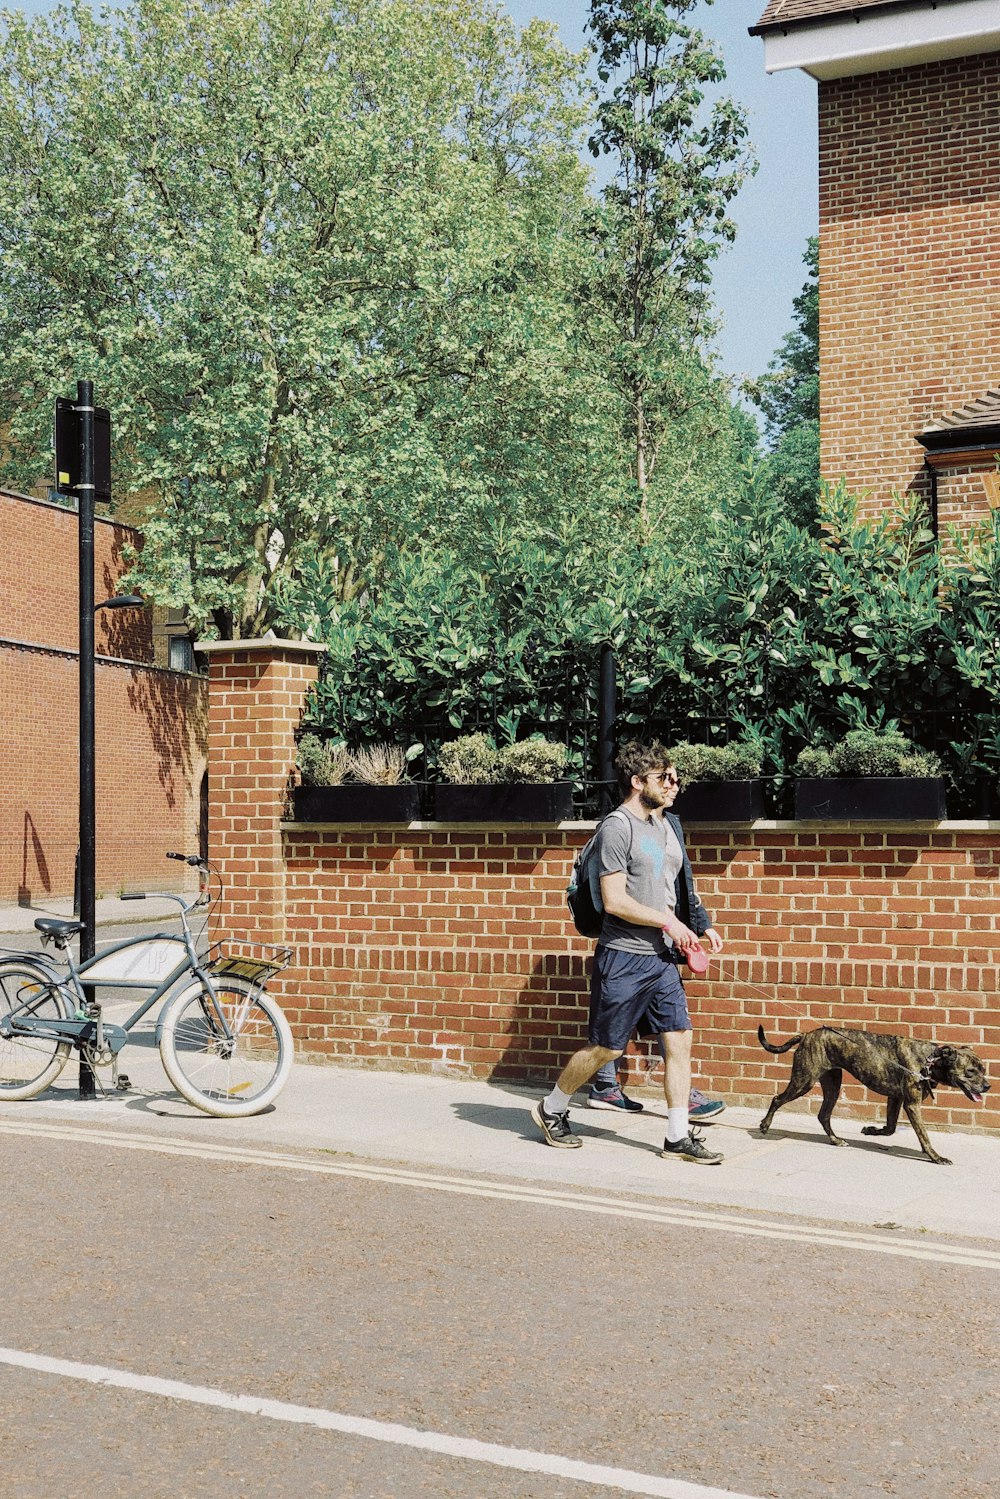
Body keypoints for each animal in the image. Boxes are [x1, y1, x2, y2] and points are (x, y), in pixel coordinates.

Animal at [755, 1025, 989, 1163]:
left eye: (983, 1069)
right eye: (970, 1071)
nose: (987, 1086)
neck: (931, 1061)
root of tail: (805, 1036)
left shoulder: (895, 1099)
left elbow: (891, 1128)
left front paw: (872, 1130)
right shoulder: (911, 1104)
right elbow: (924, 1135)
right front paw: (936, 1157)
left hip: (832, 1085)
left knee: (823, 1115)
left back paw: (836, 1140)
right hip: (803, 1081)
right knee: (777, 1099)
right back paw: (764, 1126)